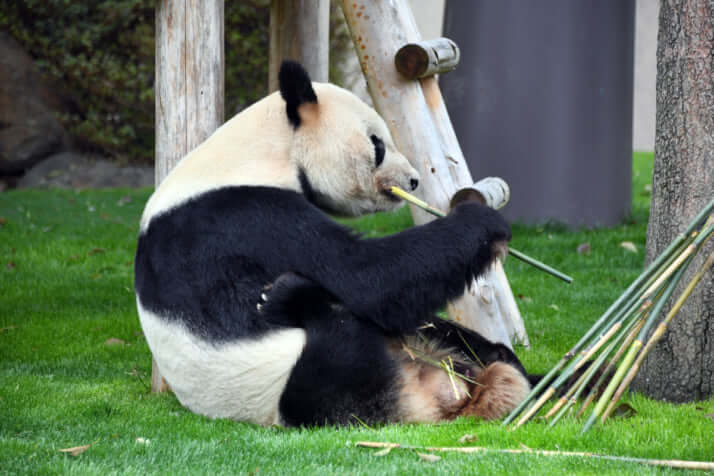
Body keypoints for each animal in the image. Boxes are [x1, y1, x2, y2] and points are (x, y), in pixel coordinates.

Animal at [134, 60, 536, 428]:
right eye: (377, 144)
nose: (413, 180)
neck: (259, 152)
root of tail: (433, 390)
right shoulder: (246, 215)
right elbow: (368, 278)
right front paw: (483, 221)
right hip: (305, 383)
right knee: (340, 333)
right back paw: (291, 297)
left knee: (445, 332)